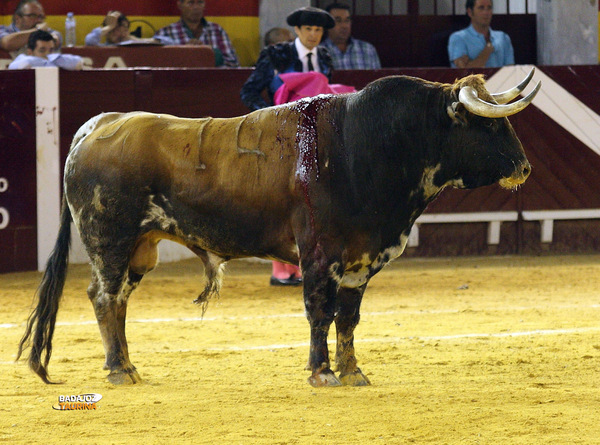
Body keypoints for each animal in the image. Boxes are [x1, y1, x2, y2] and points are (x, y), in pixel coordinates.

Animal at [17, 69, 540, 386]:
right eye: (488, 126)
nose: (524, 168)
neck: (368, 146)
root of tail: (97, 126)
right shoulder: (320, 254)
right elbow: (319, 313)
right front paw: (321, 374)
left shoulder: (359, 260)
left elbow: (348, 319)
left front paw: (353, 373)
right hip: (110, 238)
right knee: (104, 298)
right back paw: (118, 372)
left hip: (139, 249)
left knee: (119, 299)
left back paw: (128, 365)